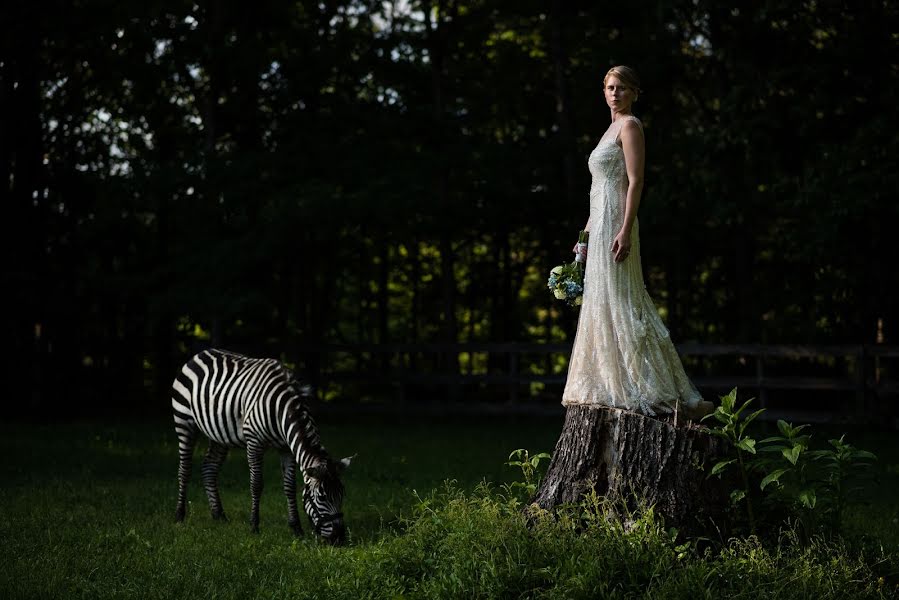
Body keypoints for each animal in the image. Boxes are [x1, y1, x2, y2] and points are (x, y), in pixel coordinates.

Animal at [171, 346, 354, 544]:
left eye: (342, 494)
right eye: (322, 497)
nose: (339, 538)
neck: (283, 409)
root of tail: (200, 353)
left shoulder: (286, 448)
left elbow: (290, 486)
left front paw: (296, 529)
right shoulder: (254, 442)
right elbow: (256, 484)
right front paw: (254, 526)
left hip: (218, 435)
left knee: (209, 468)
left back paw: (219, 516)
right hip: (184, 421)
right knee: (184, 470)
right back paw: (179, 516)